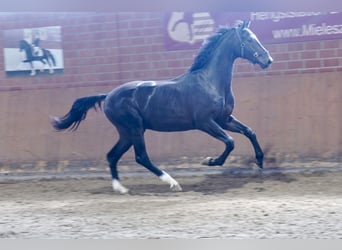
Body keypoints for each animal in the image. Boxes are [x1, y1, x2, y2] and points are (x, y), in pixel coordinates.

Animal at [50, 21, 274, 193]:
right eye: (249, 39)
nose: (268, 60)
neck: (210, 81)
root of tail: (108, 96)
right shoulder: (205, 122)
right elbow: (230, 142)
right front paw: (209, 161)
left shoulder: (224, 119)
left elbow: (249, 132)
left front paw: (259, 164)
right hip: (134, 129)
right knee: (141, 157)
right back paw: (173, 183)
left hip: (127, 132)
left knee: (112, 155)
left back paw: (121, 189)